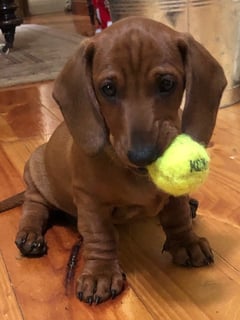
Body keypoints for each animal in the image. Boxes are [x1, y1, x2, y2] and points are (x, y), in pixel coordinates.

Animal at [0, 15, 226, 304]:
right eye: (107, 89)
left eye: (167, 84)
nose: (142, 156)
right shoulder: (91, 202)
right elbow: (100, 236)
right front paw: (101, 274)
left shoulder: (173, 196)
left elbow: (177, 216)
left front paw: (186, 242)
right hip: (36, 174)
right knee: (33, 206)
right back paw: (29, 234)